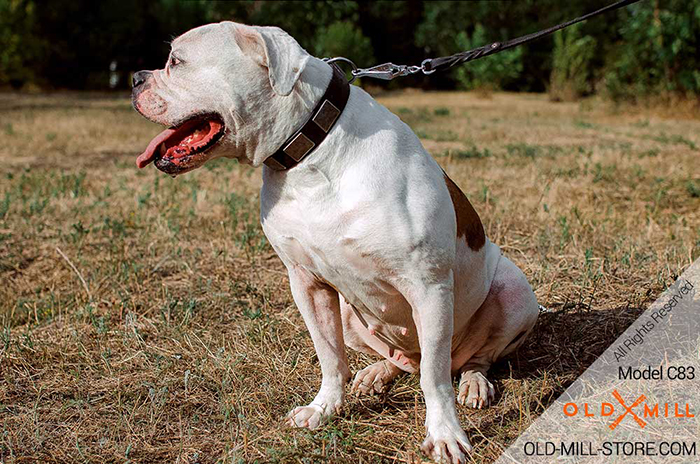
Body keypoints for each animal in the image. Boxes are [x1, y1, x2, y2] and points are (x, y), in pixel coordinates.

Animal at [131, 22, 540, 464]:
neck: (310, 154)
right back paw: (376, 374)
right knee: (403, 360)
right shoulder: (307, 283)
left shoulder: (428, 287)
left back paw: (473, 383)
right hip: (351, 311)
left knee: (467, 359)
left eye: (177, 62)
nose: (135, 78)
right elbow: (329, 355)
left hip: (515, 293)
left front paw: (445, 434)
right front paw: (324, 408)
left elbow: (434, 378)